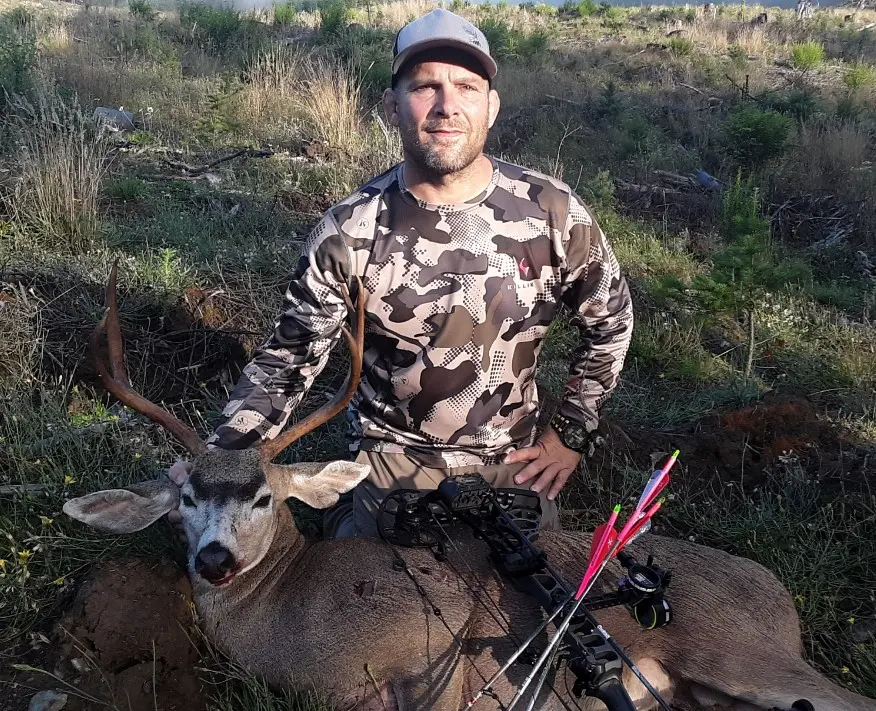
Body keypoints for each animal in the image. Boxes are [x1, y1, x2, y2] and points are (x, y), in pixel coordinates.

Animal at [63, 265, 876, 711]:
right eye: (184, 498)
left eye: (264, 496)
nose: (215, 561)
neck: (291, 611)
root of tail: (778, 591)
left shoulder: (433, 649)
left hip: (741, 654)